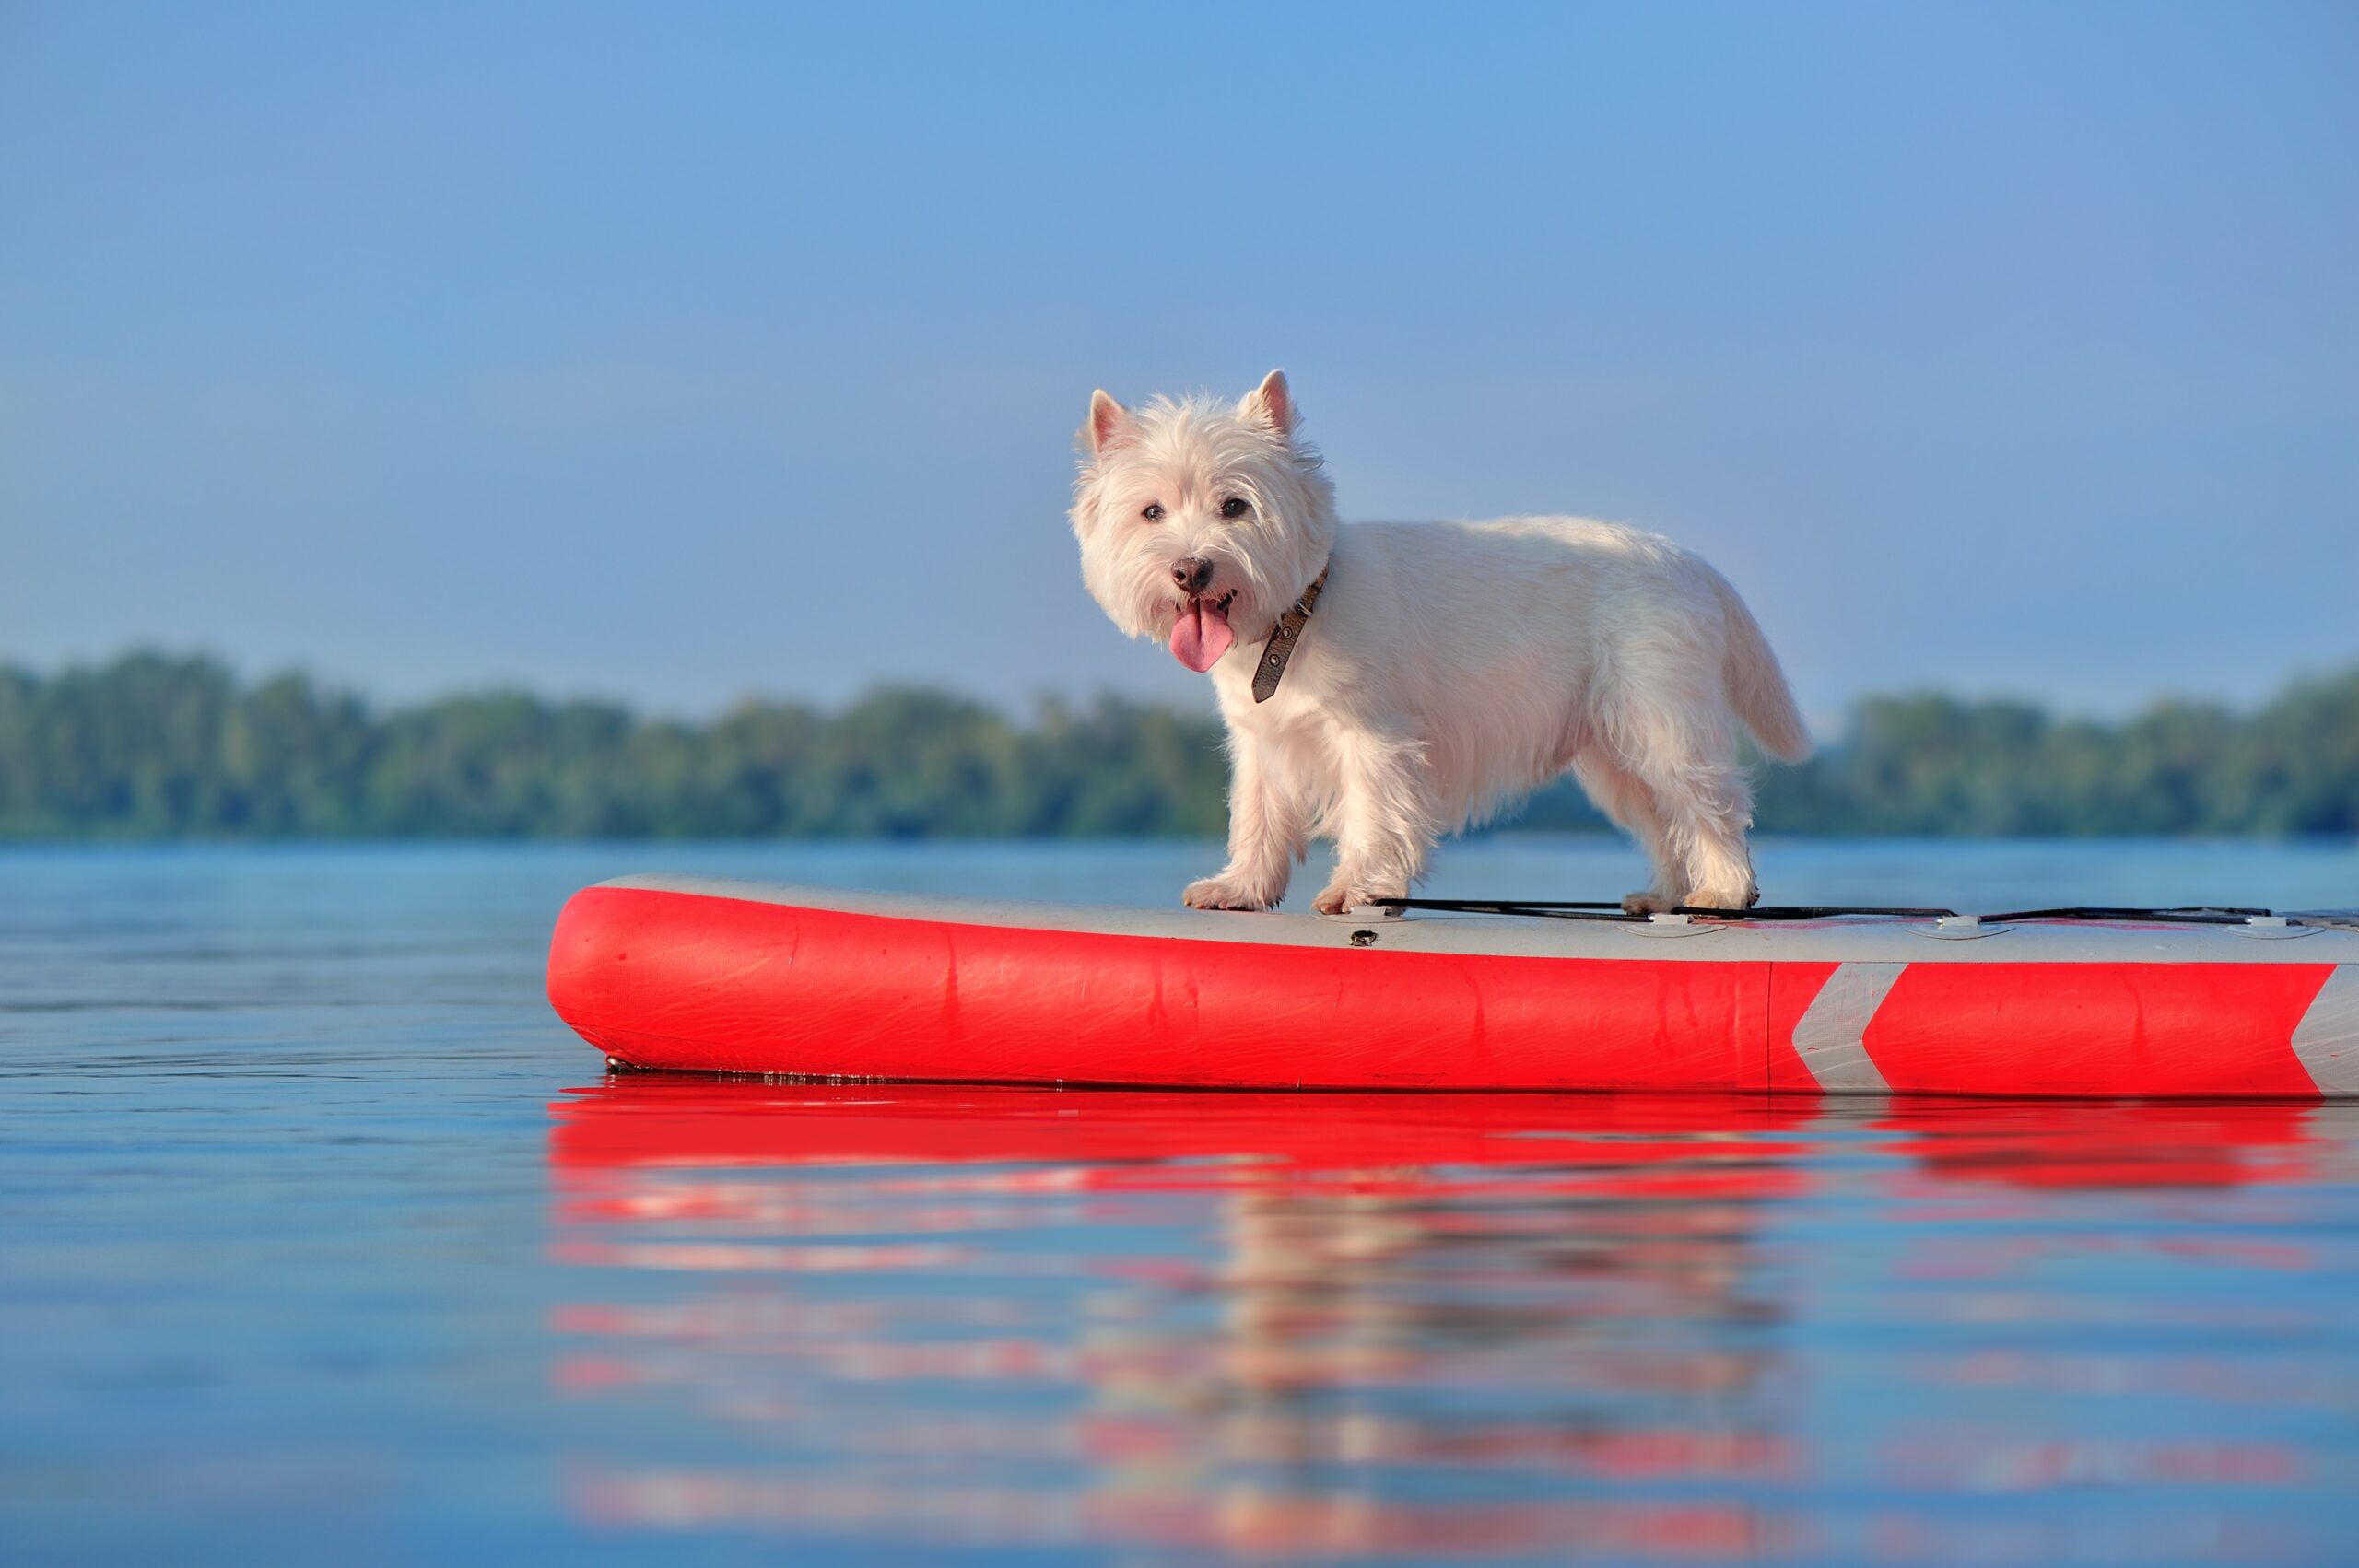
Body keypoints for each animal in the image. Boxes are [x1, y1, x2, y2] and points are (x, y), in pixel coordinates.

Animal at [1066, 372, 1802, 909]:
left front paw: (1355, 889)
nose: (1191, 570)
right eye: (1151, 511)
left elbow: (1373, 815)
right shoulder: (1264, 743)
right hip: (1612, 751)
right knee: (1662, 816)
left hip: (1659, 718)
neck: (1296, 614)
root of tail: (1689, 561)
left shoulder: (1375, 737)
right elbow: (1257, 817)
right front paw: (1239, 889)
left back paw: (1723, 891)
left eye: (1235, 506)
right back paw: (1663, 896)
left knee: (1708, 801)